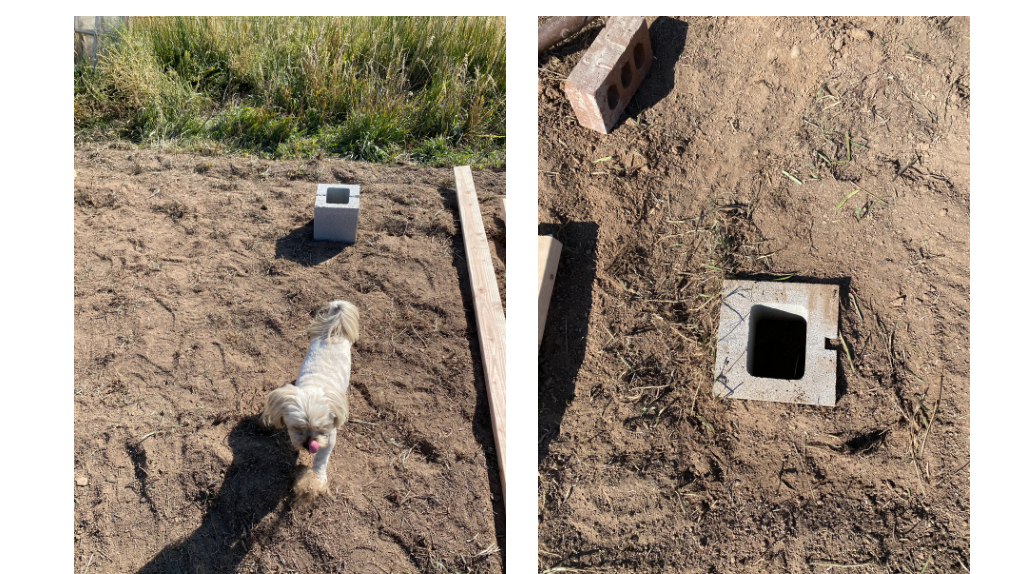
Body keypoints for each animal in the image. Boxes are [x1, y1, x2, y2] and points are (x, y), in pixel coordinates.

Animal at [263, 300, 359, 496]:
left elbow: (321, 459)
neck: (315, 386)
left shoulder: (330, 438)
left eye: (322, 430)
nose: (309, 444)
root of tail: (334, 329)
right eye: (296, 428)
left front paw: (317, 479)